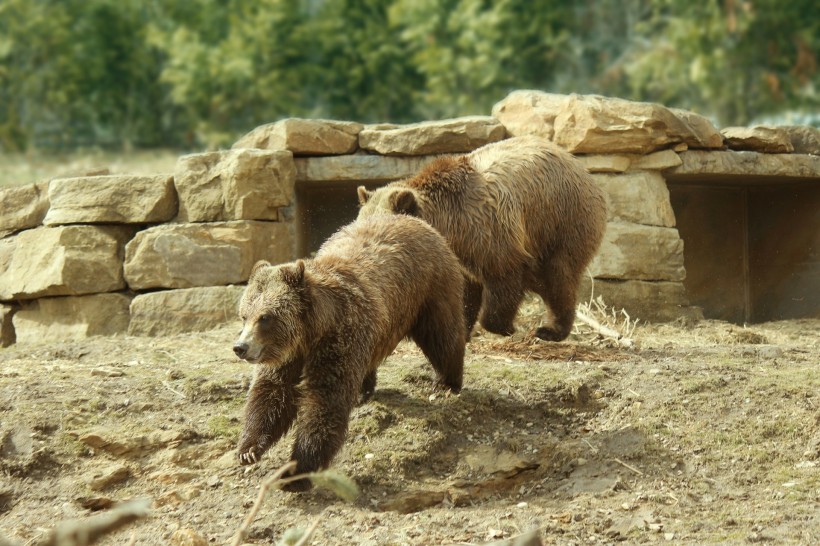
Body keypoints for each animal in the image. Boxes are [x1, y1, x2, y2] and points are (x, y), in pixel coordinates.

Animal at [234, 212, 464, 488]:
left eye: (265, 317)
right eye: (244, 315)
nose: (240, 347)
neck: (311, 333)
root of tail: (415, 220)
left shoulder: (338, 340)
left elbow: (325, 402)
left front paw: (296, 472)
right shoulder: (289, 355)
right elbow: (271, 393)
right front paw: (248, 448)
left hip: (430, 289)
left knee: (443, 334)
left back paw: (447, 381)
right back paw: (363, 392)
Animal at [358, 135, 608, 340]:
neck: (450, 226)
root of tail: (581, 167)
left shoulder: (489, 232)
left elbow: (504, 275)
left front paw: (505, 327)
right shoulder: (461, 256)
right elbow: (462, 292)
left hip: (562, 219)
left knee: (559, 275)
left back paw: (551, 329)